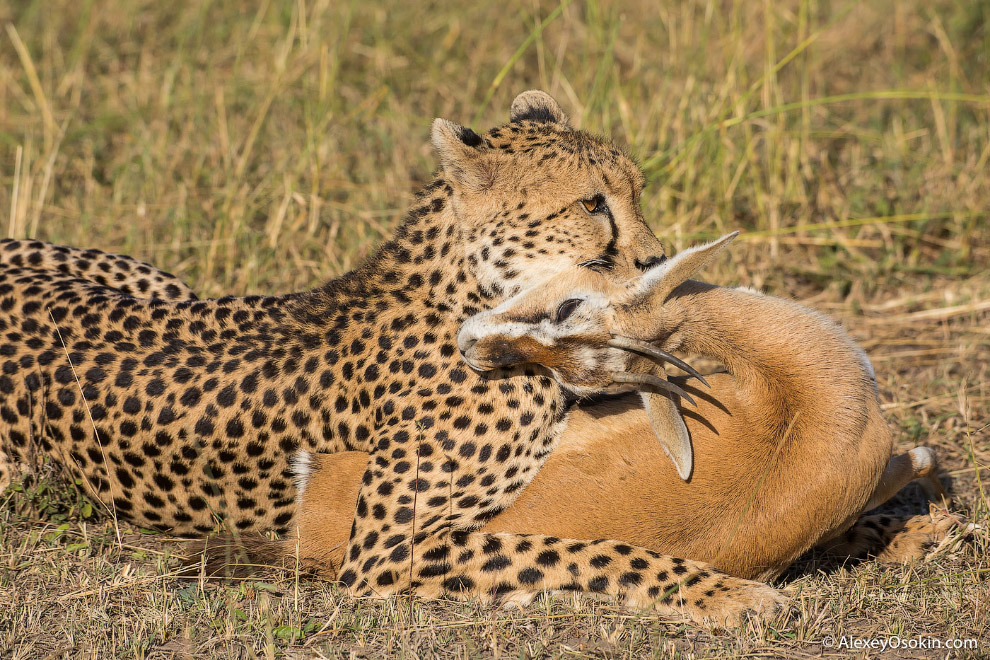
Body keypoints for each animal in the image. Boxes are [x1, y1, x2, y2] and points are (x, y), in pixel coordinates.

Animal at [3, 91, 788, 624]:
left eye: (636, 191)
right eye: (592, 203)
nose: (655, 258)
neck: (474, 292)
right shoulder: (383, 550)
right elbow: (584, 549)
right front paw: (722, 590)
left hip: (163, 282)